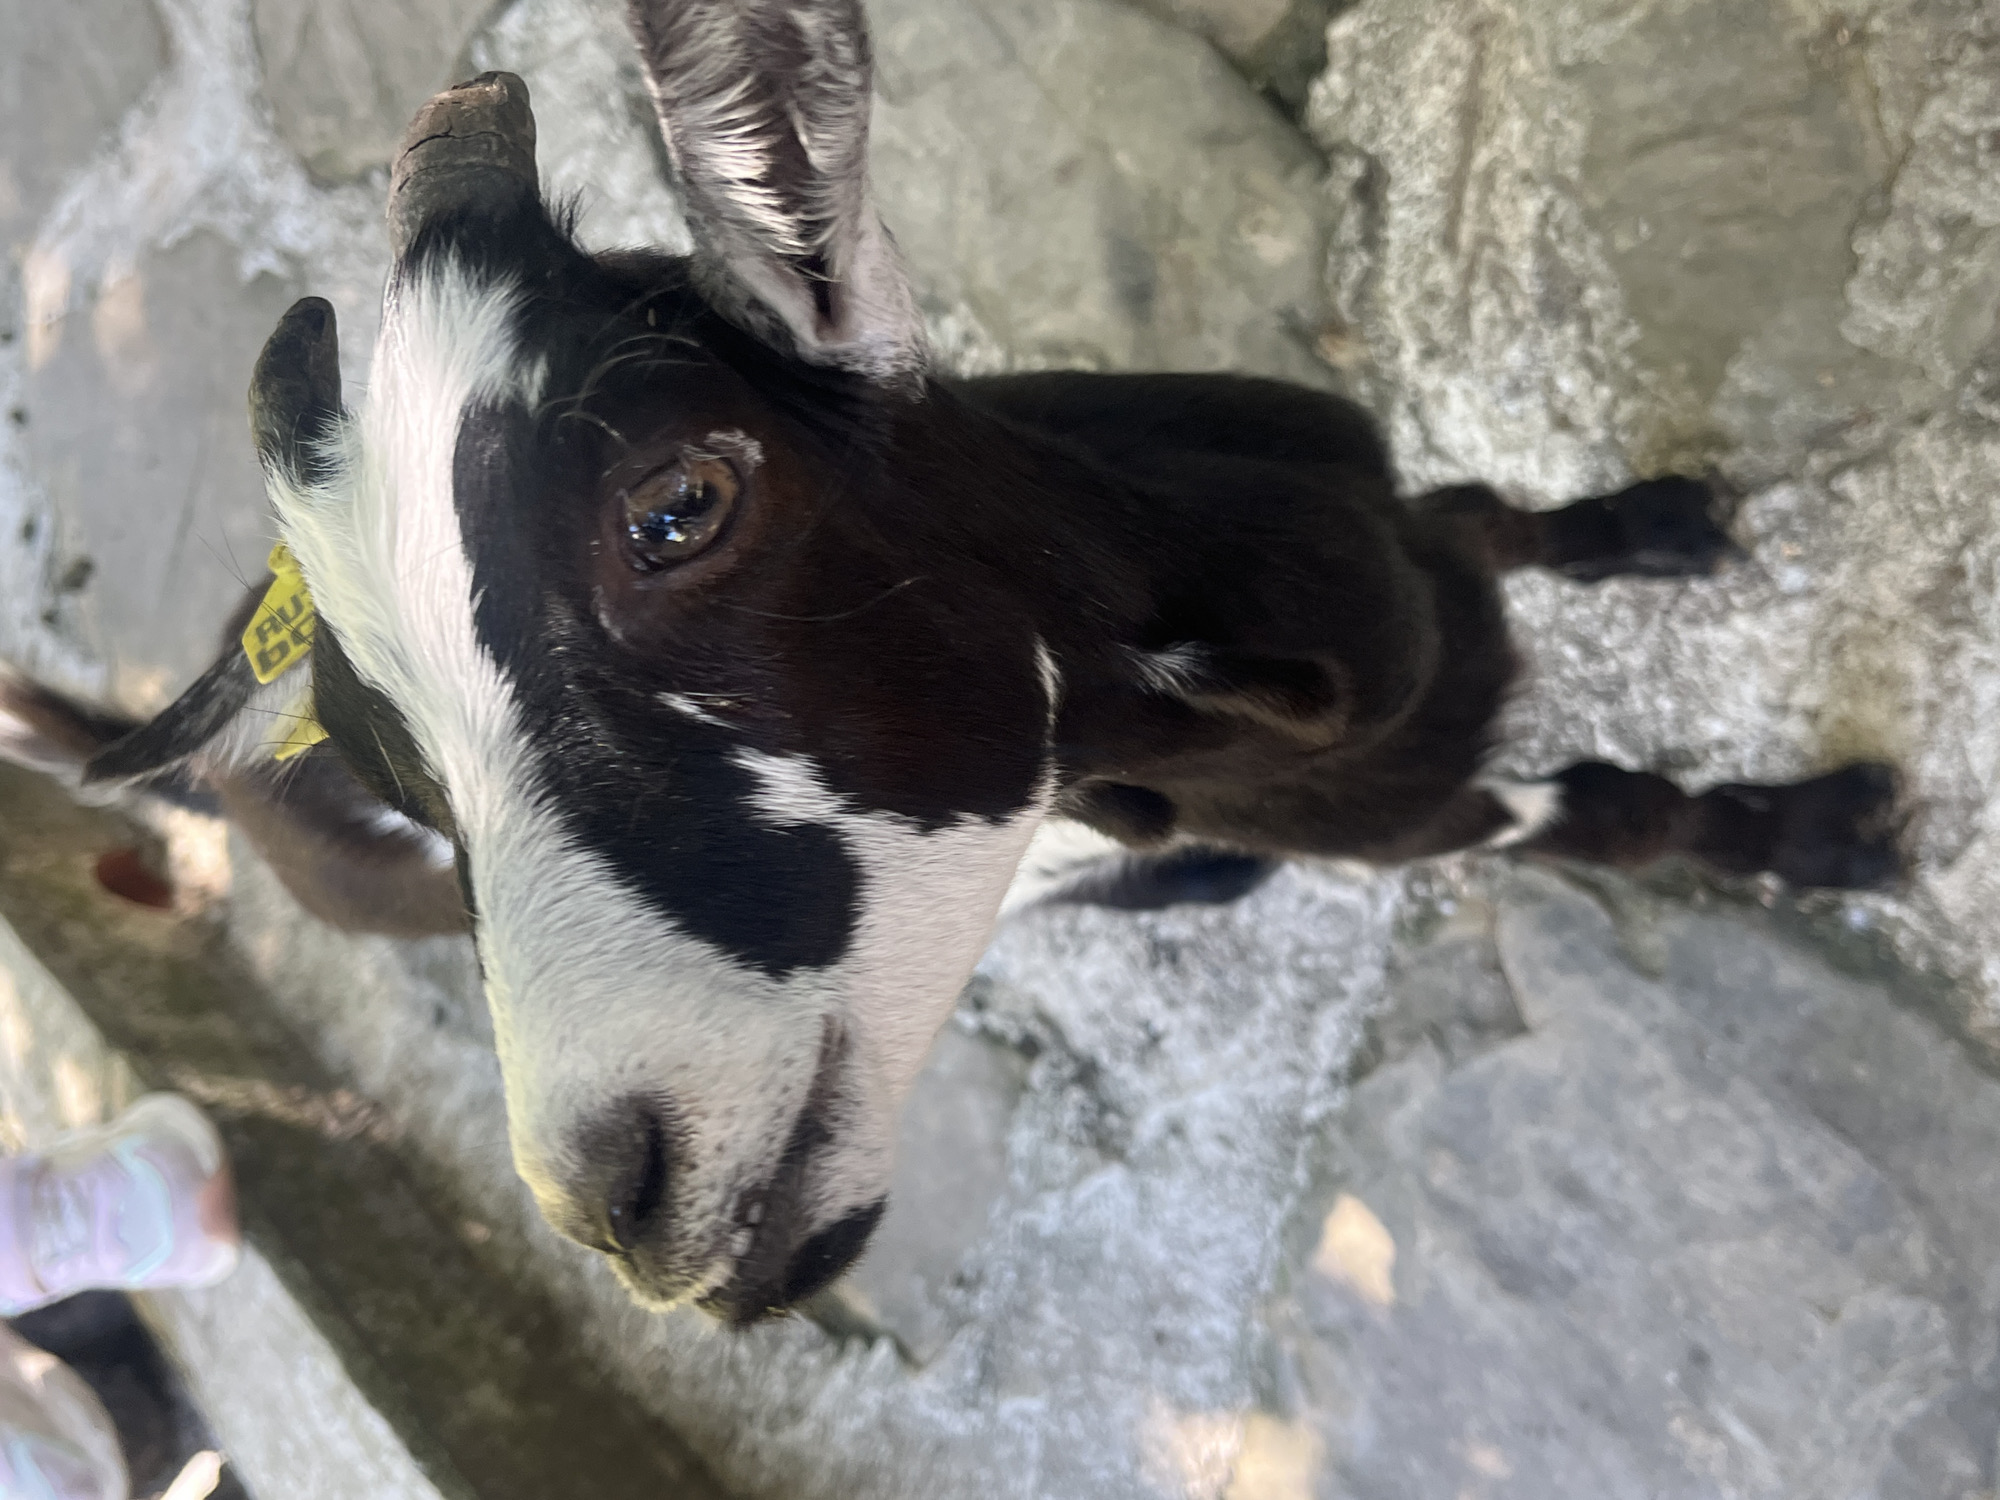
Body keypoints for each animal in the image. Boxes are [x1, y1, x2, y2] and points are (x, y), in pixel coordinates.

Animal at [0, 0, 1900, 1323]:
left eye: (677, 504)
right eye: (401, 780)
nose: (620, 1194)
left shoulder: (1391, 515)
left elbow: (1504, 512)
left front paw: (1665, 527)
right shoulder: (1418, 817)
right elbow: (1610, 810)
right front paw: (1827, 833)